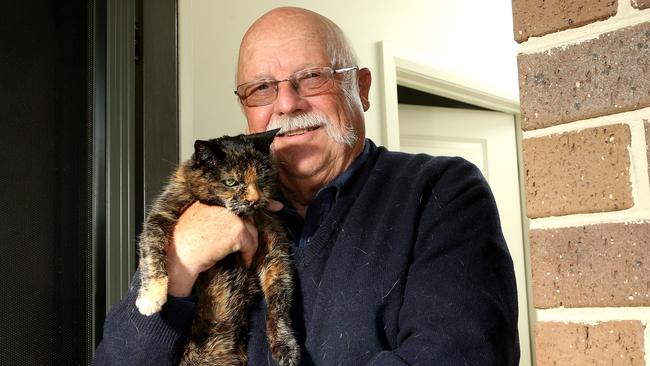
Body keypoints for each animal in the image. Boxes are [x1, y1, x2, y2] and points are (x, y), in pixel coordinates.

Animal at [138, 128, 300, 364]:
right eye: (231, 182)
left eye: (262, 177)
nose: (254, 200)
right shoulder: (160, 215)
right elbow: (152, 253)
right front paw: (151, 297)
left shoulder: (274, 251)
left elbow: (280, 302)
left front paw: (286, 346)